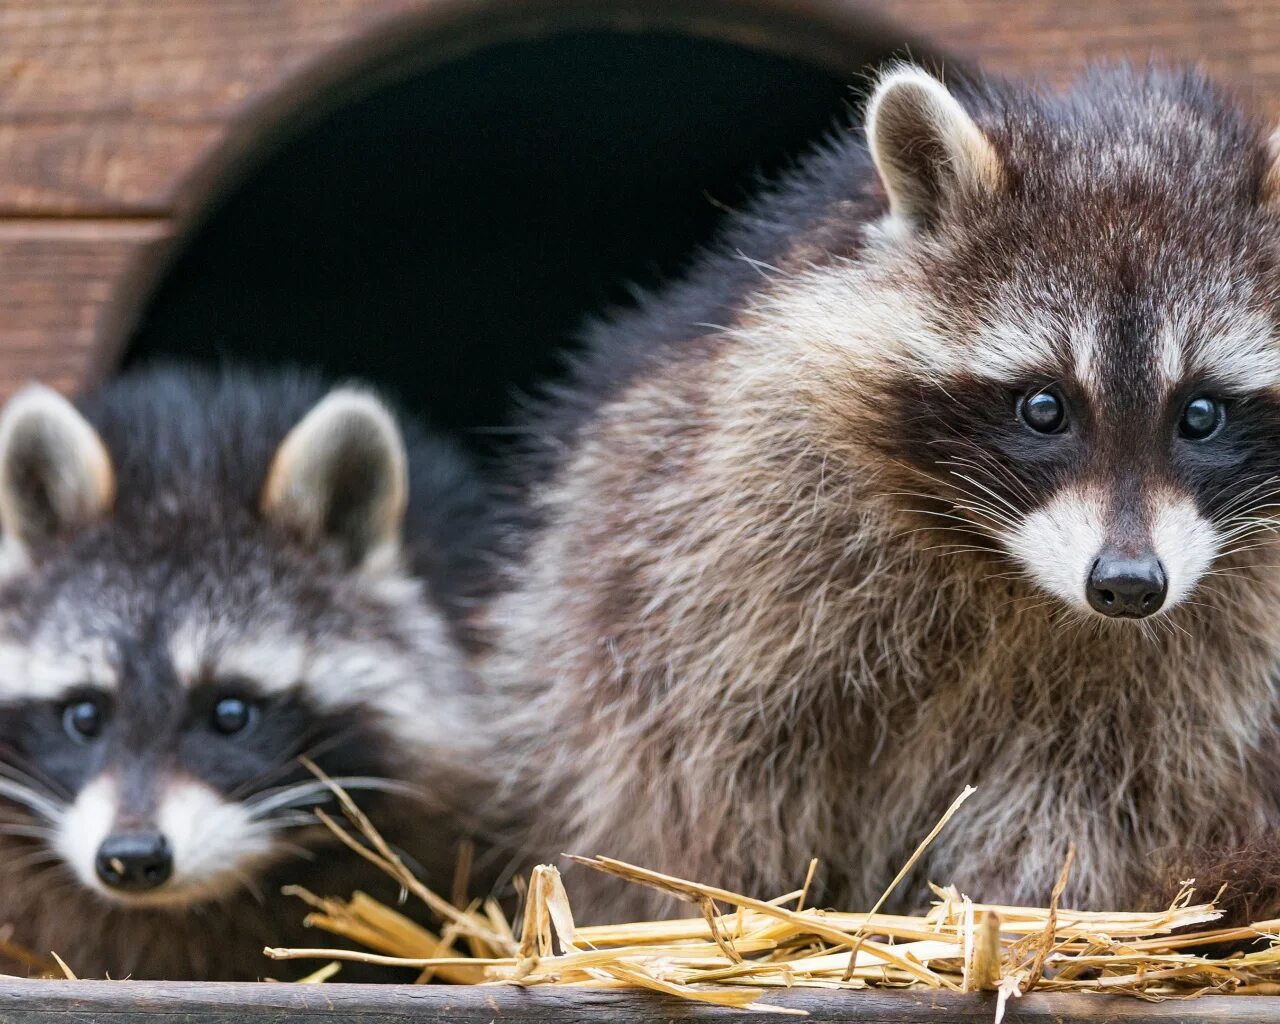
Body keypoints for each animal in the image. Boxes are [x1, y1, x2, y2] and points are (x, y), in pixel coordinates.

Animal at [491, 65, 1280, 921]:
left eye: (1200, 413)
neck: (1022, 583)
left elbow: (1097, 788)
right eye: (1044, 407)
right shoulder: (736, 524)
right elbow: (717, 748)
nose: (1129, 586)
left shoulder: (1209, 661)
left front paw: (1019, 897)